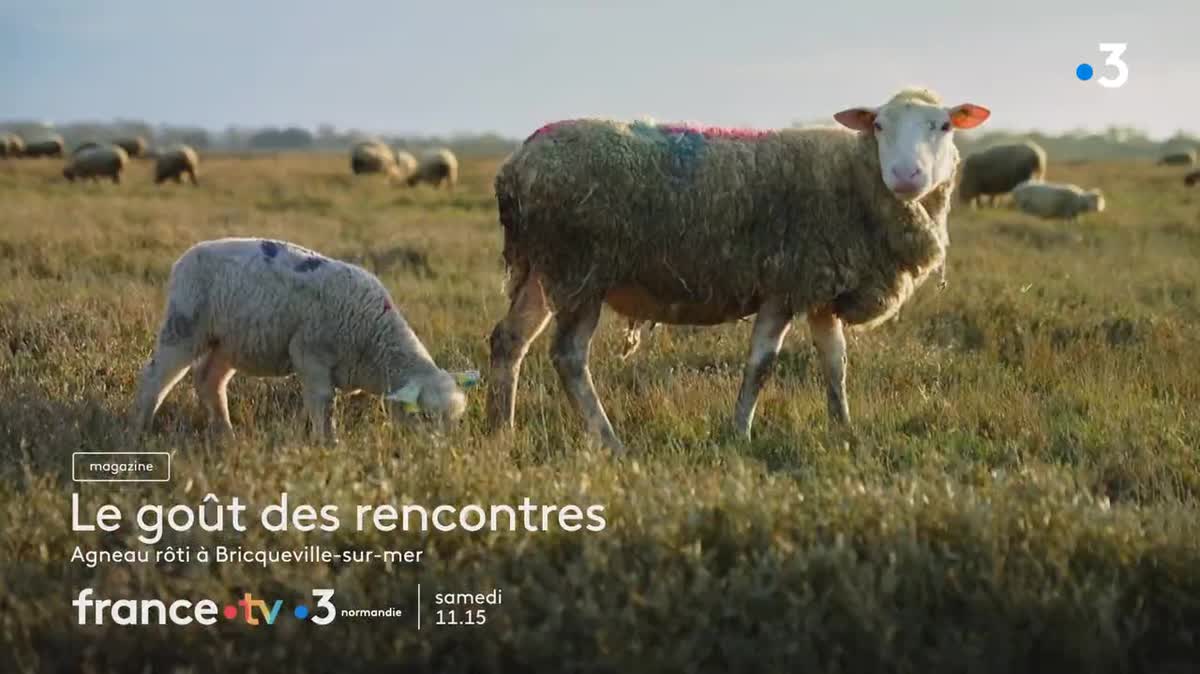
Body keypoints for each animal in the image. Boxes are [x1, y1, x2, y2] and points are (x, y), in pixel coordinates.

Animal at [132, 236, 477, 441]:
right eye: (426, 416)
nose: (434, 455)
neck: (375, 339)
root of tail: (186, 256)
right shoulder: (310, 355)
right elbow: (323, 406)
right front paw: (329, 446)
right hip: (184, 325)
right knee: (155, 377)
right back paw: (140, 428)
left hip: (230, 341)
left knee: (209, 380)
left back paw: (226, 433)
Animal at [482, 85, 988, 450]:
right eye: (879, 125)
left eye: (944, 126)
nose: (906, 176)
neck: (853, 176)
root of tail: (515, 166)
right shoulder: (783, 284)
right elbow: (761, 366)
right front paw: (740, 434)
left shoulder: (817, 286)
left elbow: (835, 363)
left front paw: (843, 429)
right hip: (580, 270)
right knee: (568, 356)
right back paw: (609, 441)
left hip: (542, 270)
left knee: (509, 341)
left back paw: (501, 430)